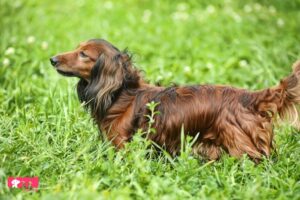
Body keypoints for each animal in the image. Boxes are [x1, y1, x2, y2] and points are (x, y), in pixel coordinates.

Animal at [50, 38, 298, 161]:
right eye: (77, 48)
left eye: (84, 54)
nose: (52, 59)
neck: (122, 93)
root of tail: (250, 97)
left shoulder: (122, 145)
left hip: (242, 148)